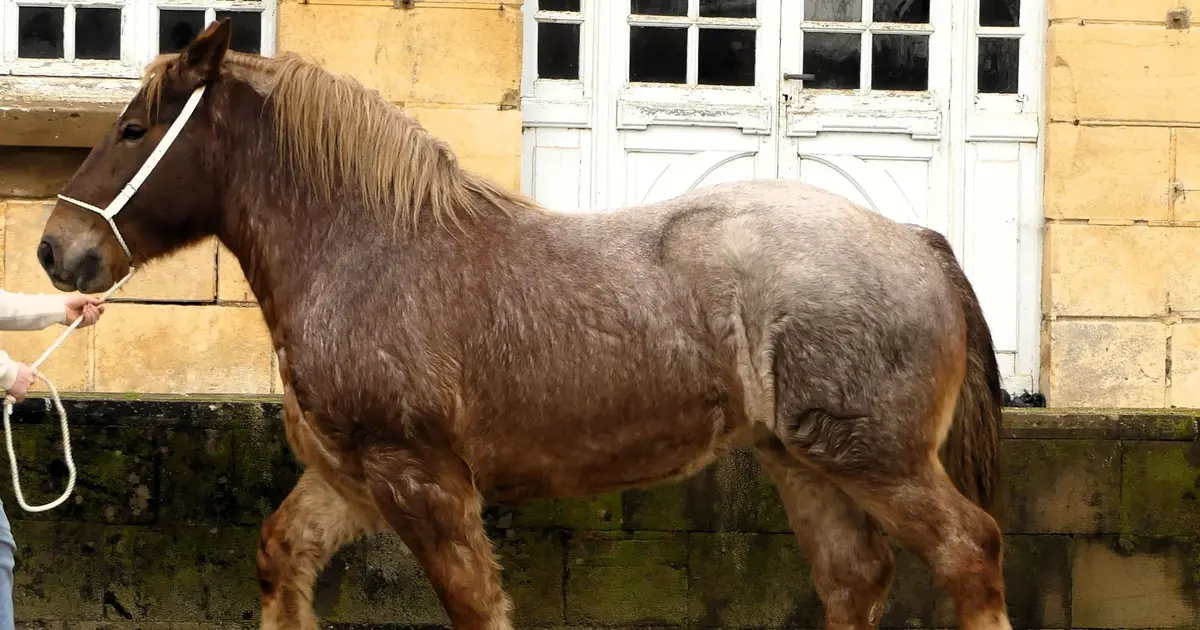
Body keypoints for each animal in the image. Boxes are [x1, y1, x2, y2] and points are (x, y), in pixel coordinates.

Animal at [36, 19, 1011, 630]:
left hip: (876, 460)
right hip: (804, 463)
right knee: (856, 581)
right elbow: (283, 559)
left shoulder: (421, 481)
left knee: (969, 553)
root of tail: (917, 240)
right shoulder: (349, 482)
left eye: (133, 129)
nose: (55, 251)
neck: (367, 250)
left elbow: (475, 606)